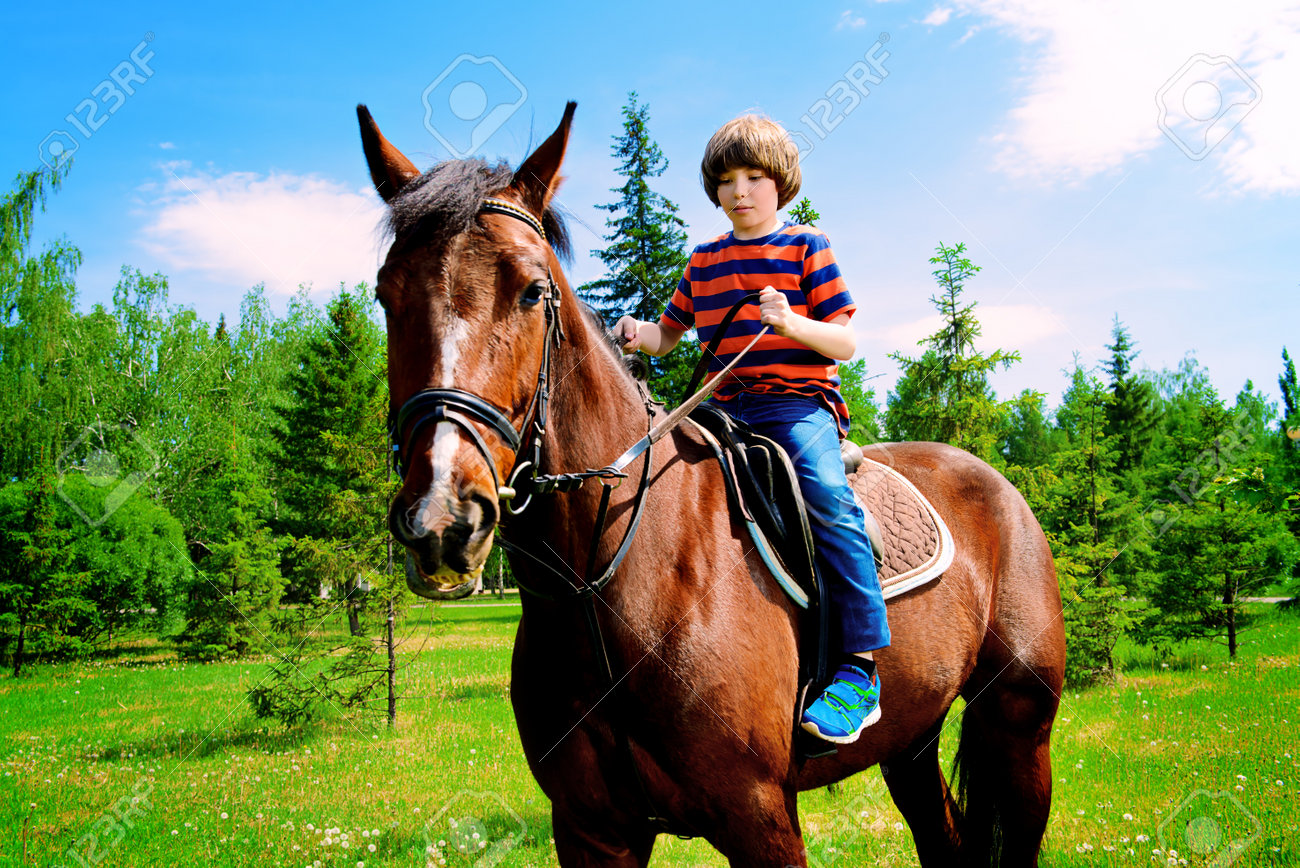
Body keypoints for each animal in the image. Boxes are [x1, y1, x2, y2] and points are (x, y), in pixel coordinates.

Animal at [358, 100, 1066, 866]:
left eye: (532, 290)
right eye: (386, 294)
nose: (443, 520)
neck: (606, 584)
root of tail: (996, 482)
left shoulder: (760, 819)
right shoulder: (589, 828)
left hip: (1018, 731)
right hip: (912, 738)